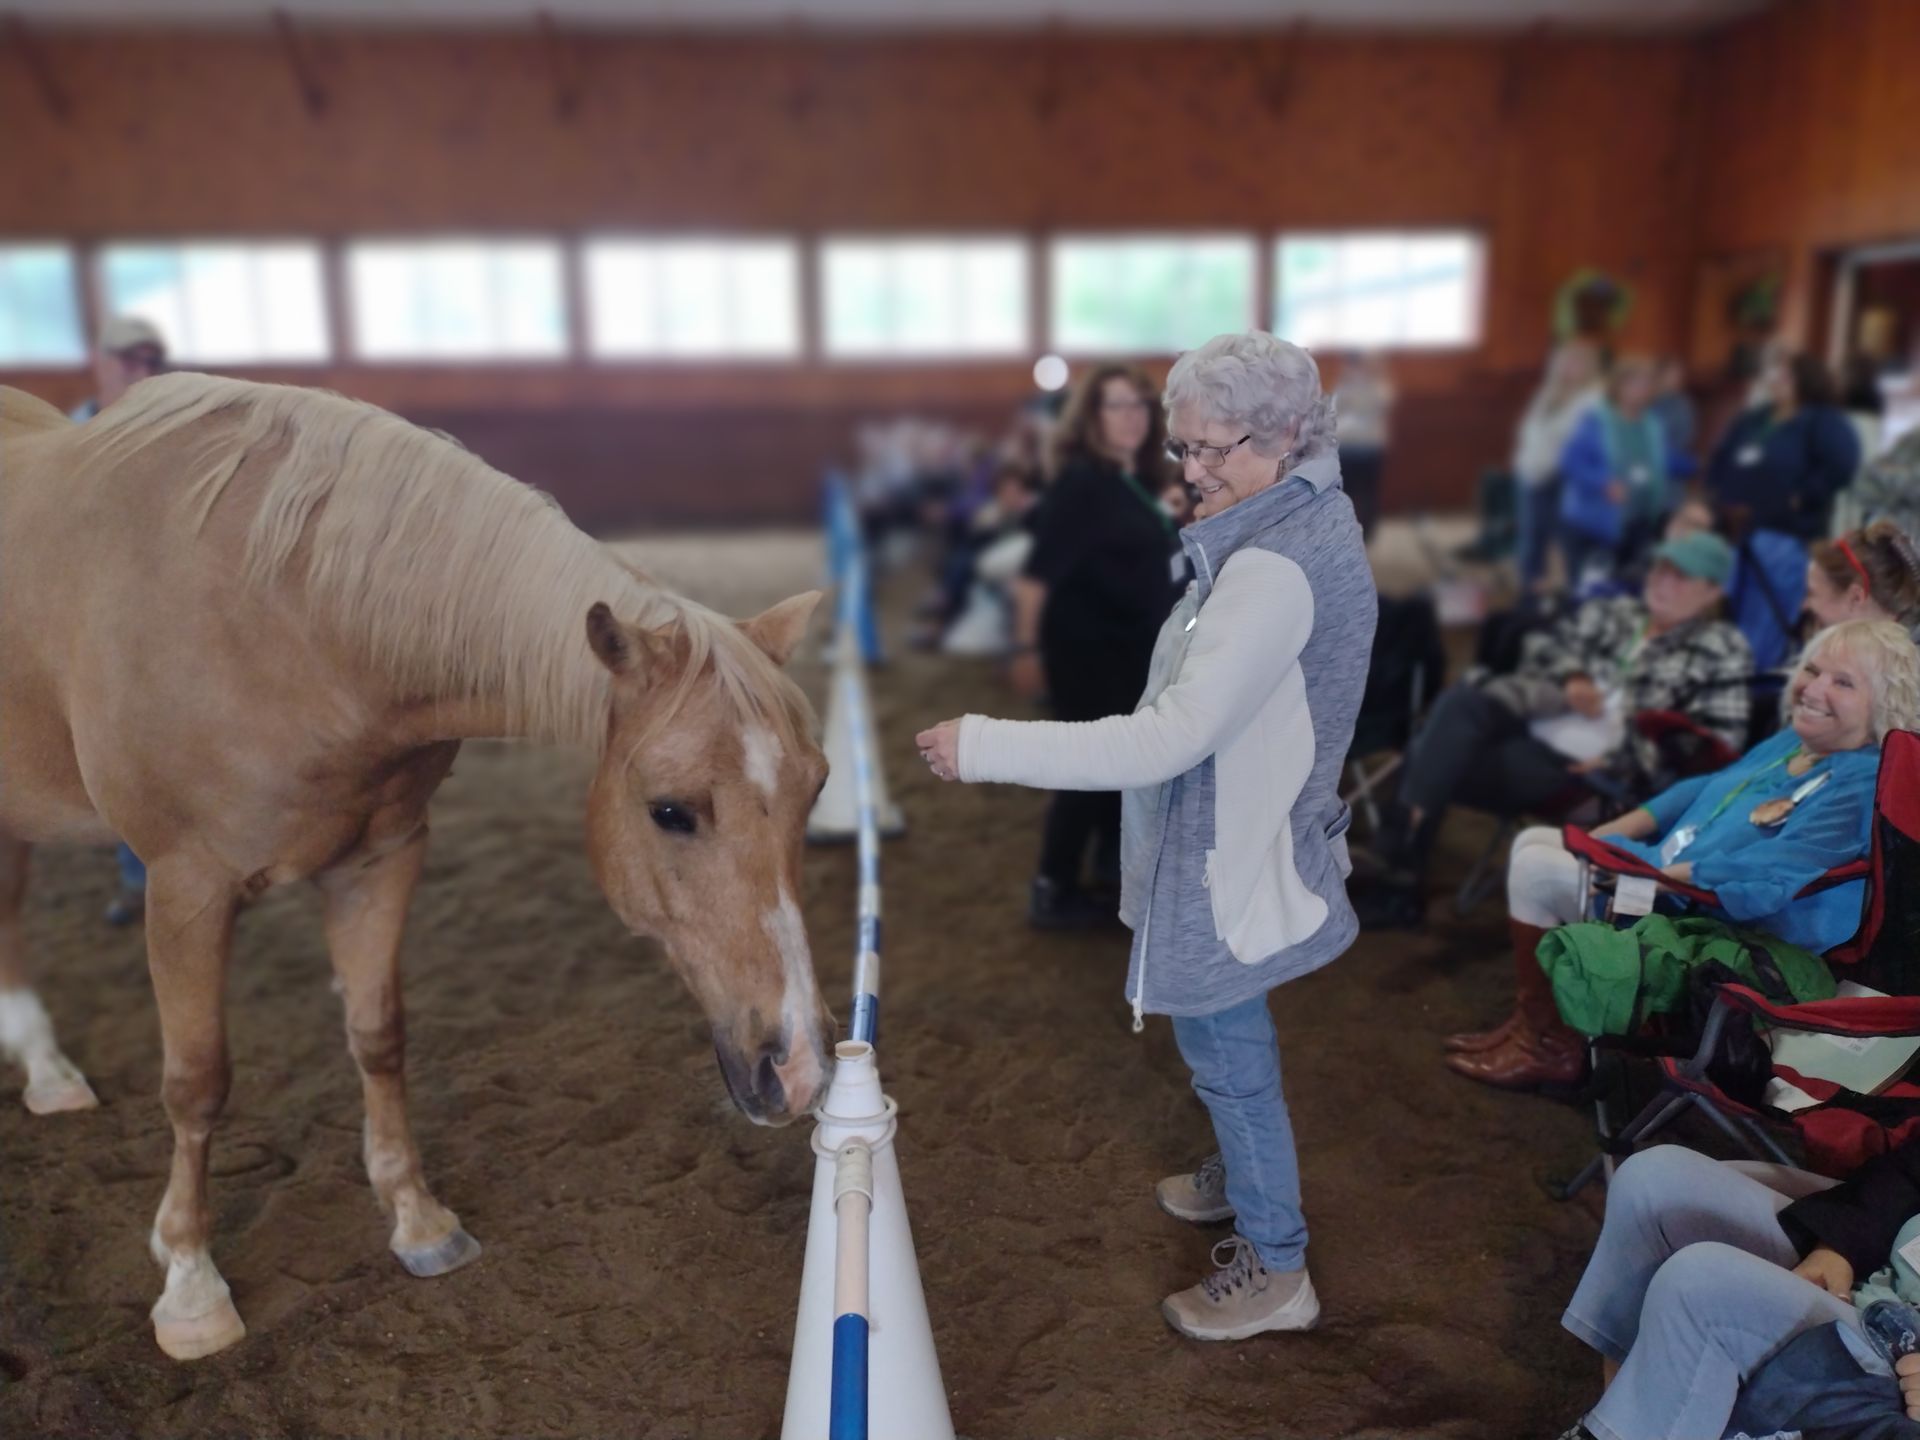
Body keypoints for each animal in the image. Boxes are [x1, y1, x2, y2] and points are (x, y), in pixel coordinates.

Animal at [0, 374, 836, 1361]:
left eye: (817, 791)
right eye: (671, 811)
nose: (801, 1072)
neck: (284, 616)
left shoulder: (383, 857)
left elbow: (378, 1034)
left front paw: (418, 1221)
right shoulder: (185, 889)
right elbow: (197, 1082)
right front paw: (191, 1284)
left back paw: (47, 1074)